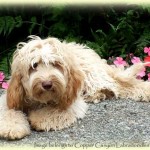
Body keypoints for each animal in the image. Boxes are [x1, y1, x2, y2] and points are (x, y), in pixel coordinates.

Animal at [0, 35, 150, 139]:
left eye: (55, 64)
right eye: (34, 65)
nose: (47, 84)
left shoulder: (71, 100)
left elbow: (56, 110)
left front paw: (40, 119)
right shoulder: (11, 98)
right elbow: (9, 112)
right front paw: (12, 128)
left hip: (92, 76)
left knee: (119, 85)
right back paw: (98, 95)